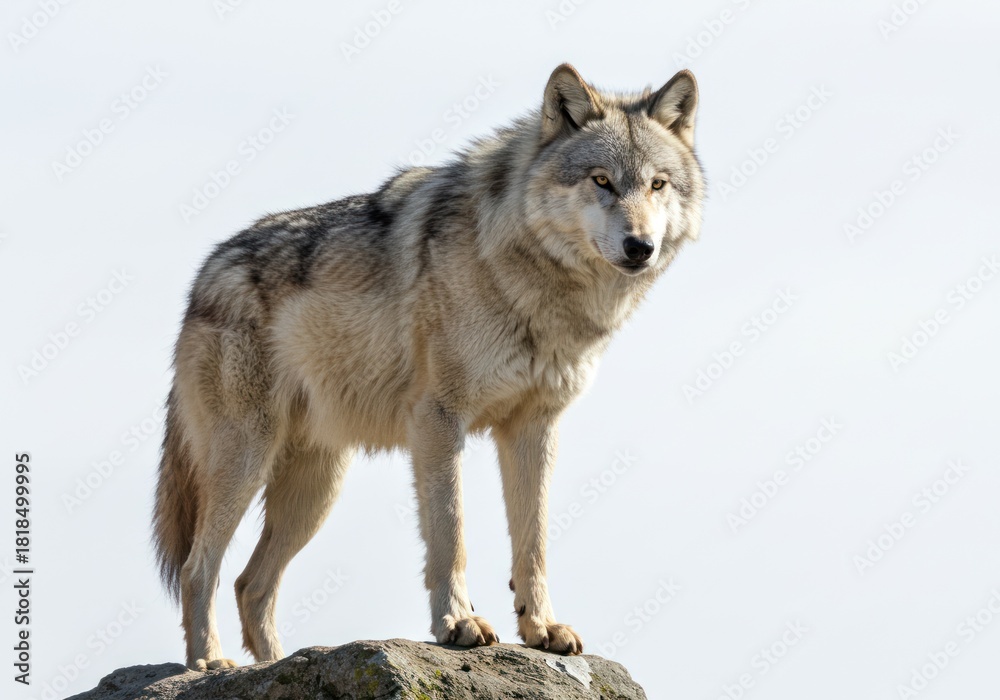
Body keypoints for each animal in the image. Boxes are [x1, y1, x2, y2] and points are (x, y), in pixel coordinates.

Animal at [152, 63, 704, 670]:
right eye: (602, 181)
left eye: (657, 185)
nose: (640, 246)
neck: (529, 282)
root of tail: (203, 277)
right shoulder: (439, 419)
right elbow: (450, 532)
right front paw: (457, 624)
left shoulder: (535, 427)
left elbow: (533, 543)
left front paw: (542, 629)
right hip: (247, 460)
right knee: (198, 568)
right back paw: (210, 662)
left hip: (315, 490)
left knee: (252, 585)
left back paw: (282, 666)